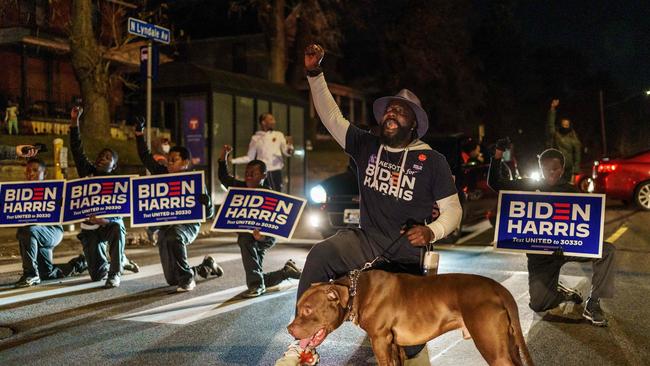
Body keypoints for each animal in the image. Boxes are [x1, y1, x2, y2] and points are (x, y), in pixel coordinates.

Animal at [288, 268, 532, 366]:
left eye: (308, 309)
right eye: (298, 307)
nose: (289, 330)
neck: (358, 291)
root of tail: (498, 288)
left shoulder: (380, 342)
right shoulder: (395, 346)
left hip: (493, 349)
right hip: (509, 345)